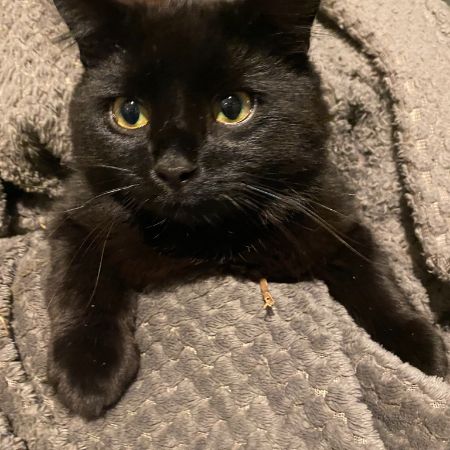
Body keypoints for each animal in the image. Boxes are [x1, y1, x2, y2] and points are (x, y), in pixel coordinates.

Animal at [47, 0, 448, 419]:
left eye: (232, 107)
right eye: (129, 113)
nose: (174, 168)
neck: (205, 238)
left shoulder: (334, 215)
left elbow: (372, 274)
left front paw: (417, 349)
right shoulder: (77, 214)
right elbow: (81, 280)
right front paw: (88, 367)